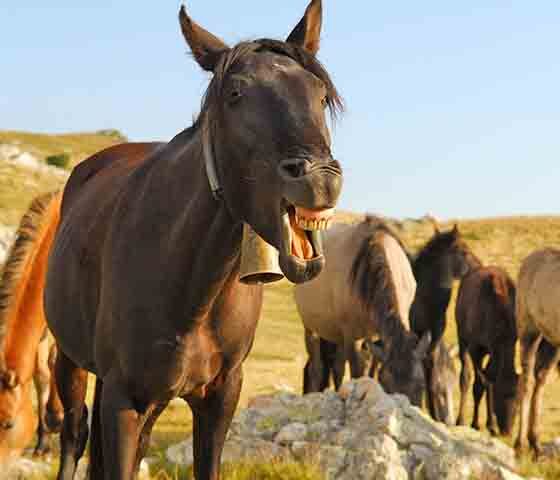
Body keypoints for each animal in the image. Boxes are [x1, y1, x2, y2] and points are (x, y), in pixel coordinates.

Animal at [44, 2, 344, 478]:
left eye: (319, 93)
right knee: (74, 434)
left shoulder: (219, 397)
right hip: (71, 363)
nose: (320, 179)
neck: (189, 288)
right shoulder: (125, 399)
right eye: (235, 93)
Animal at [295, 216, 431, 406]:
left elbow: (370, 371)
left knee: (337, 368)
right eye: (388, 385)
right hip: (311, 327)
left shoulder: (376, 336)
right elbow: (357, 372)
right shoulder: (352, 336)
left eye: (422, 385)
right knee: (317, 368)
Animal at [408, 224, 477, 425]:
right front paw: (434, 413)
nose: (476, 265)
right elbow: (429, 368)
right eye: (463, 250)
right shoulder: (432, 332)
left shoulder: (424, 333)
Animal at [455, 265, 518, 436]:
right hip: (462, 336)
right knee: (465, 377)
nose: (507, 431)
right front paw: (475, 423)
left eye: (519, 398)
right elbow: (479, 385)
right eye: (500, 395)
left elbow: (488, 381)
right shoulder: (475, 347)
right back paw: (460, 419)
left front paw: (491, 425)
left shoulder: (494, 350)